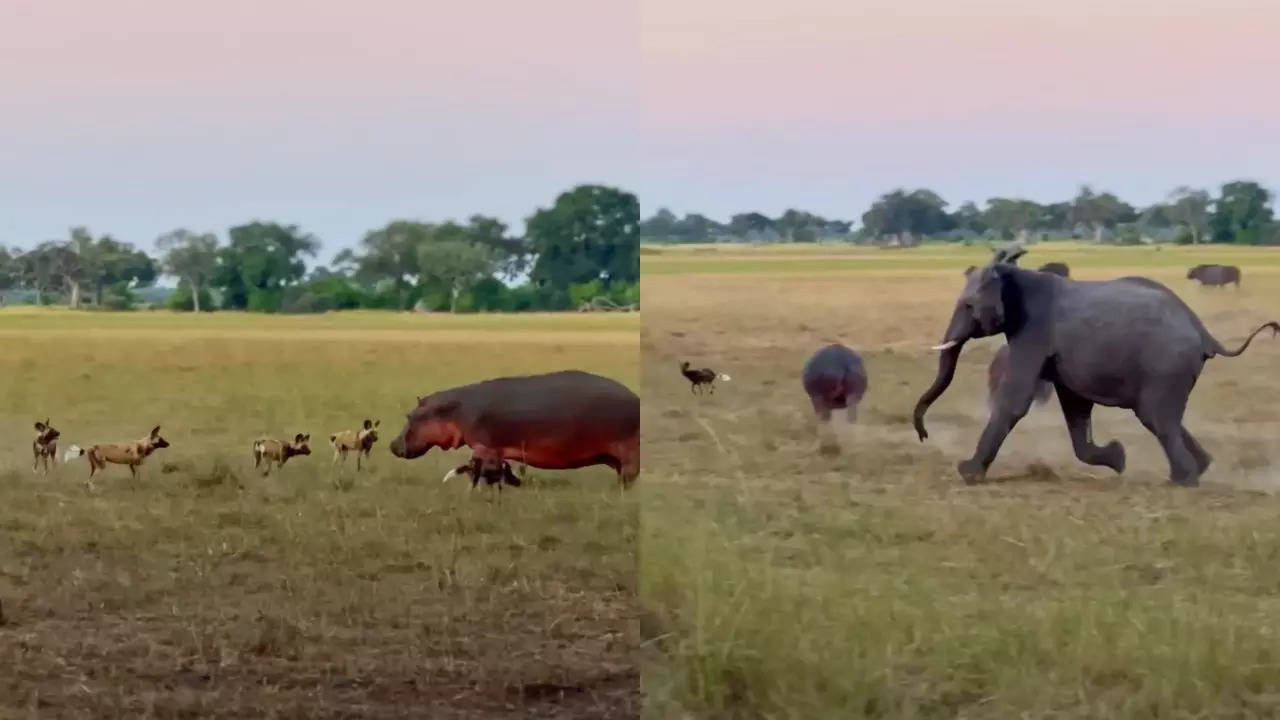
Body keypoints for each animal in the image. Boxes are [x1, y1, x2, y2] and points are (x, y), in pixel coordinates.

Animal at [381, 368, 637, 486]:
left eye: (410, 416)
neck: (454, 410)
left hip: (628, 453)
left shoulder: (486, 447)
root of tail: (635, 397)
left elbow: (483, 471)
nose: (392, 444)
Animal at [916, 243, 1274, 484]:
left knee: (1157, 417)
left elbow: (1015, 400)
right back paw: (1199, 468)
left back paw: (1182, 481)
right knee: (1161, 416)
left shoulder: (1033, 333)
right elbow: (1075, 405)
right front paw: (1118, 458)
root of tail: (1203, 333)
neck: (1014, 276)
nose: (923, 435)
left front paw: (967, 473)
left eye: (968, 306)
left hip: (1166, 364)